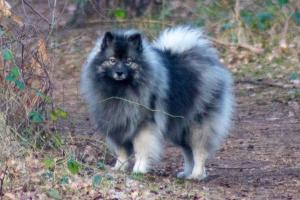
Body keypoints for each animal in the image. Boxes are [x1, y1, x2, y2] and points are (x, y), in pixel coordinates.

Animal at [80, 25, 234, 180]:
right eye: (112, 60)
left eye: (129, 61)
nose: (119, 72)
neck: (121, 90)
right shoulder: (118, 123)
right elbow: (122, 151)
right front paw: (119, 168)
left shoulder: (143, 125)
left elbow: (141, 149)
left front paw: (139, 169)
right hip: (181, 128)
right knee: (188, 152)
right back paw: (186, 173)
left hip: (197, 126)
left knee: (199, 151)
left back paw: (197, 174)